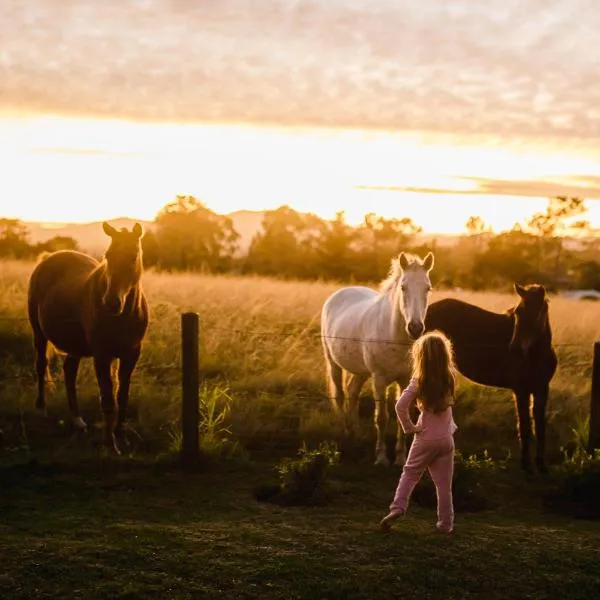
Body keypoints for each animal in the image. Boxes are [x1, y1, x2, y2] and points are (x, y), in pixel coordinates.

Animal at [27, 224, 150, 454]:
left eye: (133, 256)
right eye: (108, 255)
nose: (111, 302)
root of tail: (49, 258)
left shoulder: (131, 354)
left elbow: (122, 396)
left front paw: (122, 439)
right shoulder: (101, 356)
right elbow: (108, 399)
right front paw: (110, 445)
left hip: (74, 345)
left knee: (69, 370)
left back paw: (77, 421)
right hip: (38, 332)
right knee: (41, 365)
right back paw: (40, 409)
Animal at [322, 251, 434, 466]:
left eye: (428, 288)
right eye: (403, 287)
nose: (415, 328)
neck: (393, 335)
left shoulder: (404, 380)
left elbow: (402, 416)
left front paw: (400, 457)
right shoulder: (379, 379)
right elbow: (381, 418)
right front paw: (381, 457)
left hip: (362, 372)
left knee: (353, 391)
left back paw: (354, 431)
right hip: (333, 363)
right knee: (339, 395)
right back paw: (343, 430)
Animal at [422, 284, 556, 474]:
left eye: (536, 312)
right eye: (517, 313)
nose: (515, 349)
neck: (536, 355)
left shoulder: (542, 389)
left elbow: (540, 426)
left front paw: (541, 465)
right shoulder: (521, 390)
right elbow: (525, 427)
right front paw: (526, 465)